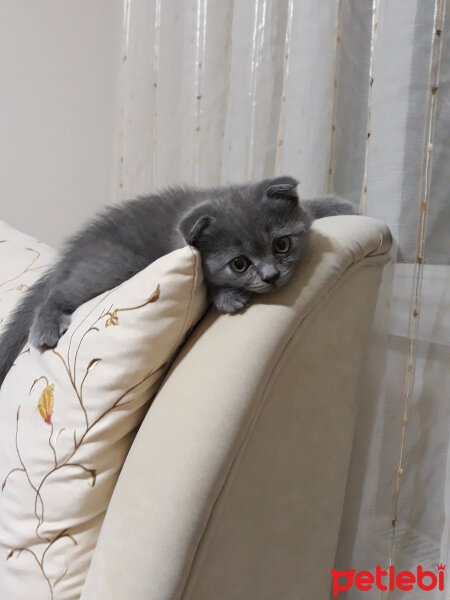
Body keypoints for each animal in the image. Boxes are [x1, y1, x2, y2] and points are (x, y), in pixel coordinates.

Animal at [0, 176, 356, 386]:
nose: (271, 276)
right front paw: (227, 296)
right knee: (60, 291)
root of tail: (75, 249)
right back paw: (46, 326)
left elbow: (309, 210)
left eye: (281, 245)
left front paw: (339, 205)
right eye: (239, 264)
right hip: (116, 263)